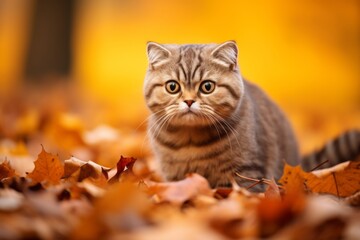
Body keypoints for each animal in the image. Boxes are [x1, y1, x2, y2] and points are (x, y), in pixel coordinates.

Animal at [143, 41, 360, 191]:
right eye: (172, 87)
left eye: (207, 87)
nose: (189, 101)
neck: (190, 140)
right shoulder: (174, 175)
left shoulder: (247, 172)